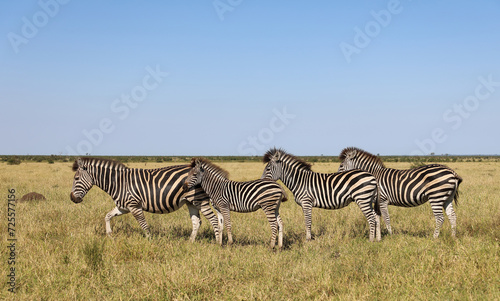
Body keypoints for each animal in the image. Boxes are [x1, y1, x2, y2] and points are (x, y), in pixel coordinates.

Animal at [70, 156, 219, 240]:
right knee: (196, 222)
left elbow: (144, 225)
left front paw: (149, 241)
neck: (118, 182)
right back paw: (190, 242)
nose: (72, 199)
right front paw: (110, 235)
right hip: (191, 202)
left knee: (213, 219)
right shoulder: (123, 207)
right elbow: (107, 216)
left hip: (199, 200)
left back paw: (218, 242)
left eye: (76, 179)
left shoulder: (134, 205)